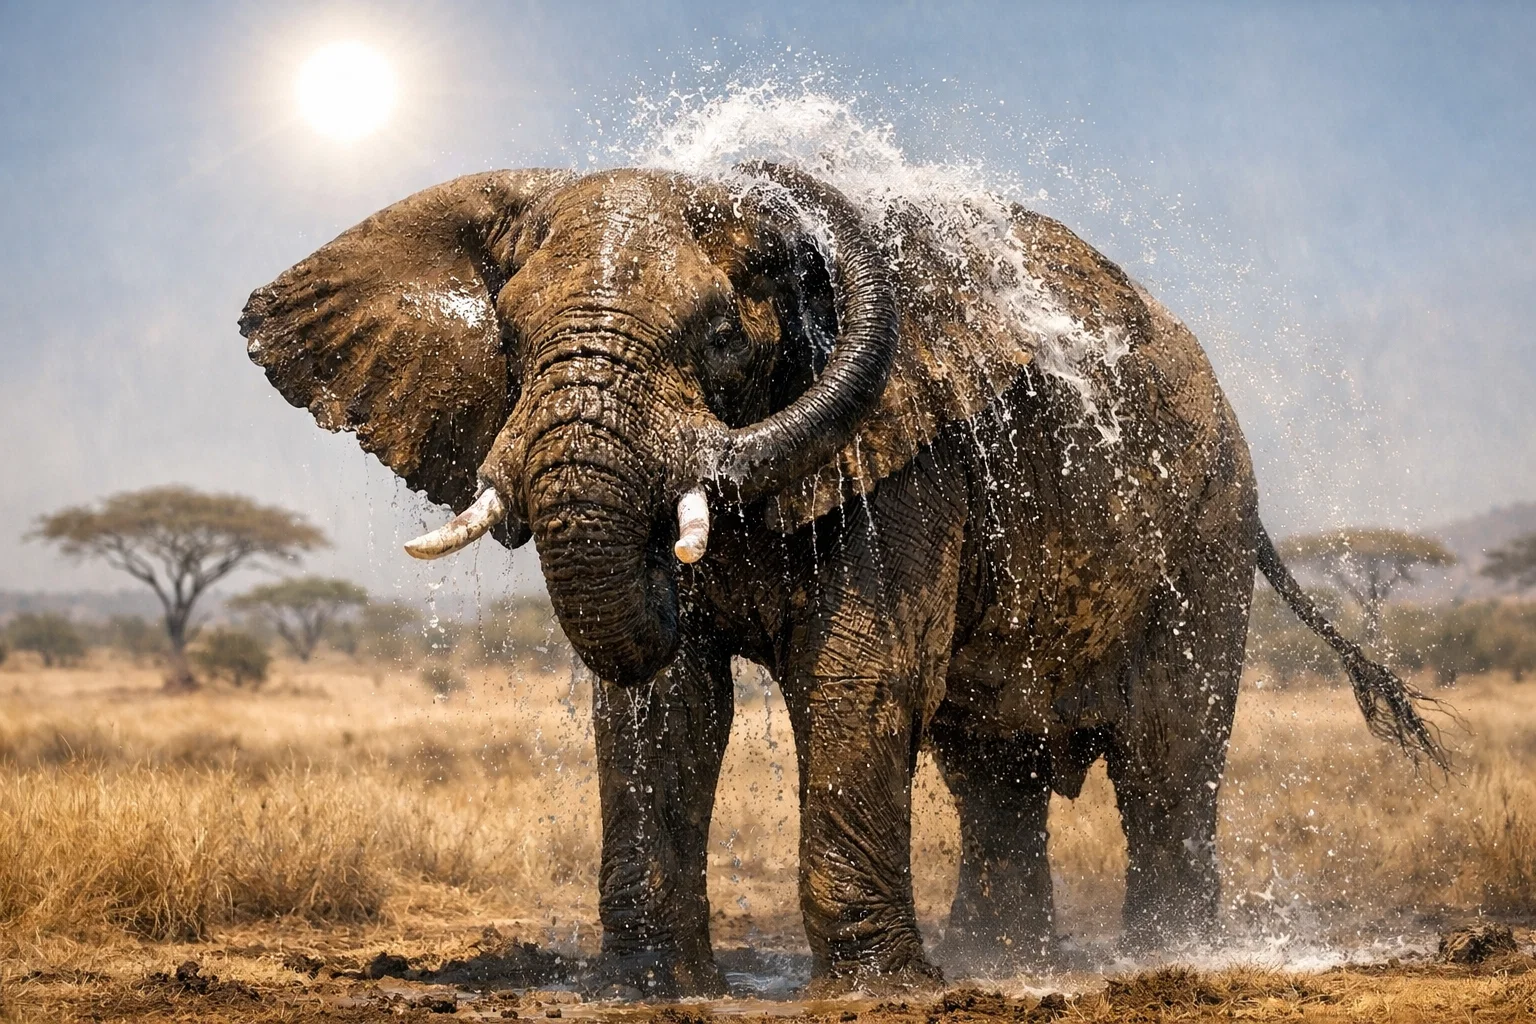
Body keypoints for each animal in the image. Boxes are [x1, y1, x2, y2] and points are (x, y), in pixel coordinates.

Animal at [240, 164, 1442, 995]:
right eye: (514, 337)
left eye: (722, 338)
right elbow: (665, 707)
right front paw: (653, 989)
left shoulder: (912, 455)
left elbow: (860, 676)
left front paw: (875, 991)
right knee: (993, 771)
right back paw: (998, 964)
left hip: (1204, 537)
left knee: (1165, 760)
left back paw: (1162, 961)